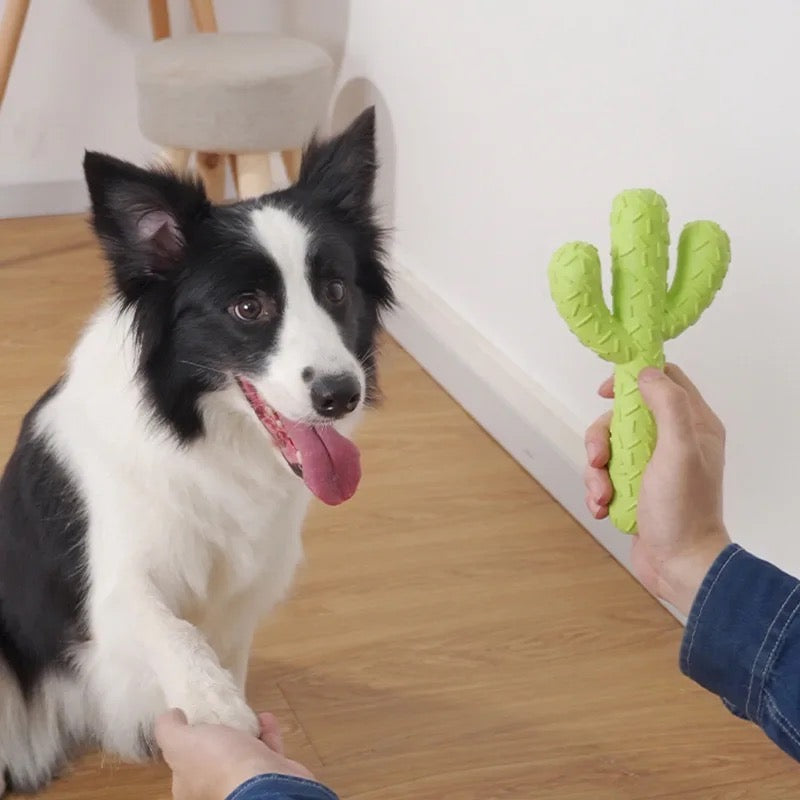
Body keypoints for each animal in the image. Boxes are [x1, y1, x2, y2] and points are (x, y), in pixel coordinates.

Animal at [0, 108, 394, 792]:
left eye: (336, 290)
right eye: (248, 307)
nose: (342, 395)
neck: (205, 438)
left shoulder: (245, 588)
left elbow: (224, 650)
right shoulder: (113, 582)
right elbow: (169, 627)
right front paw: (219, 716)